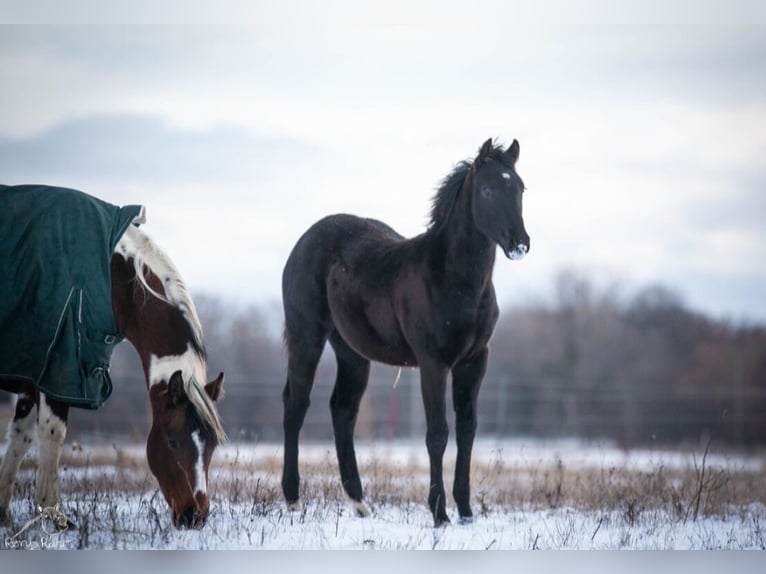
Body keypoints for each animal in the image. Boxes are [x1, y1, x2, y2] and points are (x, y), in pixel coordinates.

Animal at [0, 185, 226, 529]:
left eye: (211, 444)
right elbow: (52, 434)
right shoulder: (61, 368)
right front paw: (53, 514)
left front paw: (2, 512)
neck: (116, 275)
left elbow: (21, 437)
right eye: (173, 441)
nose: (195, 516)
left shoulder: (34, 372)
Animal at [280, 138, 529, 526]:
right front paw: (440, 515)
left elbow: (468, 429)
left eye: (519, 188)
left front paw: (466, 512)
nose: (520, 244)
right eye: (487, 189)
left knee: (342, 409)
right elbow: (437, 434)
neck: (454, 279)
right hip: (307, 335)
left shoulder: (474, 361)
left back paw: (359, 502)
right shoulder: (433, 362)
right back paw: (292, 499)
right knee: (297, 403)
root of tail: (303, 242)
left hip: (351, 352)